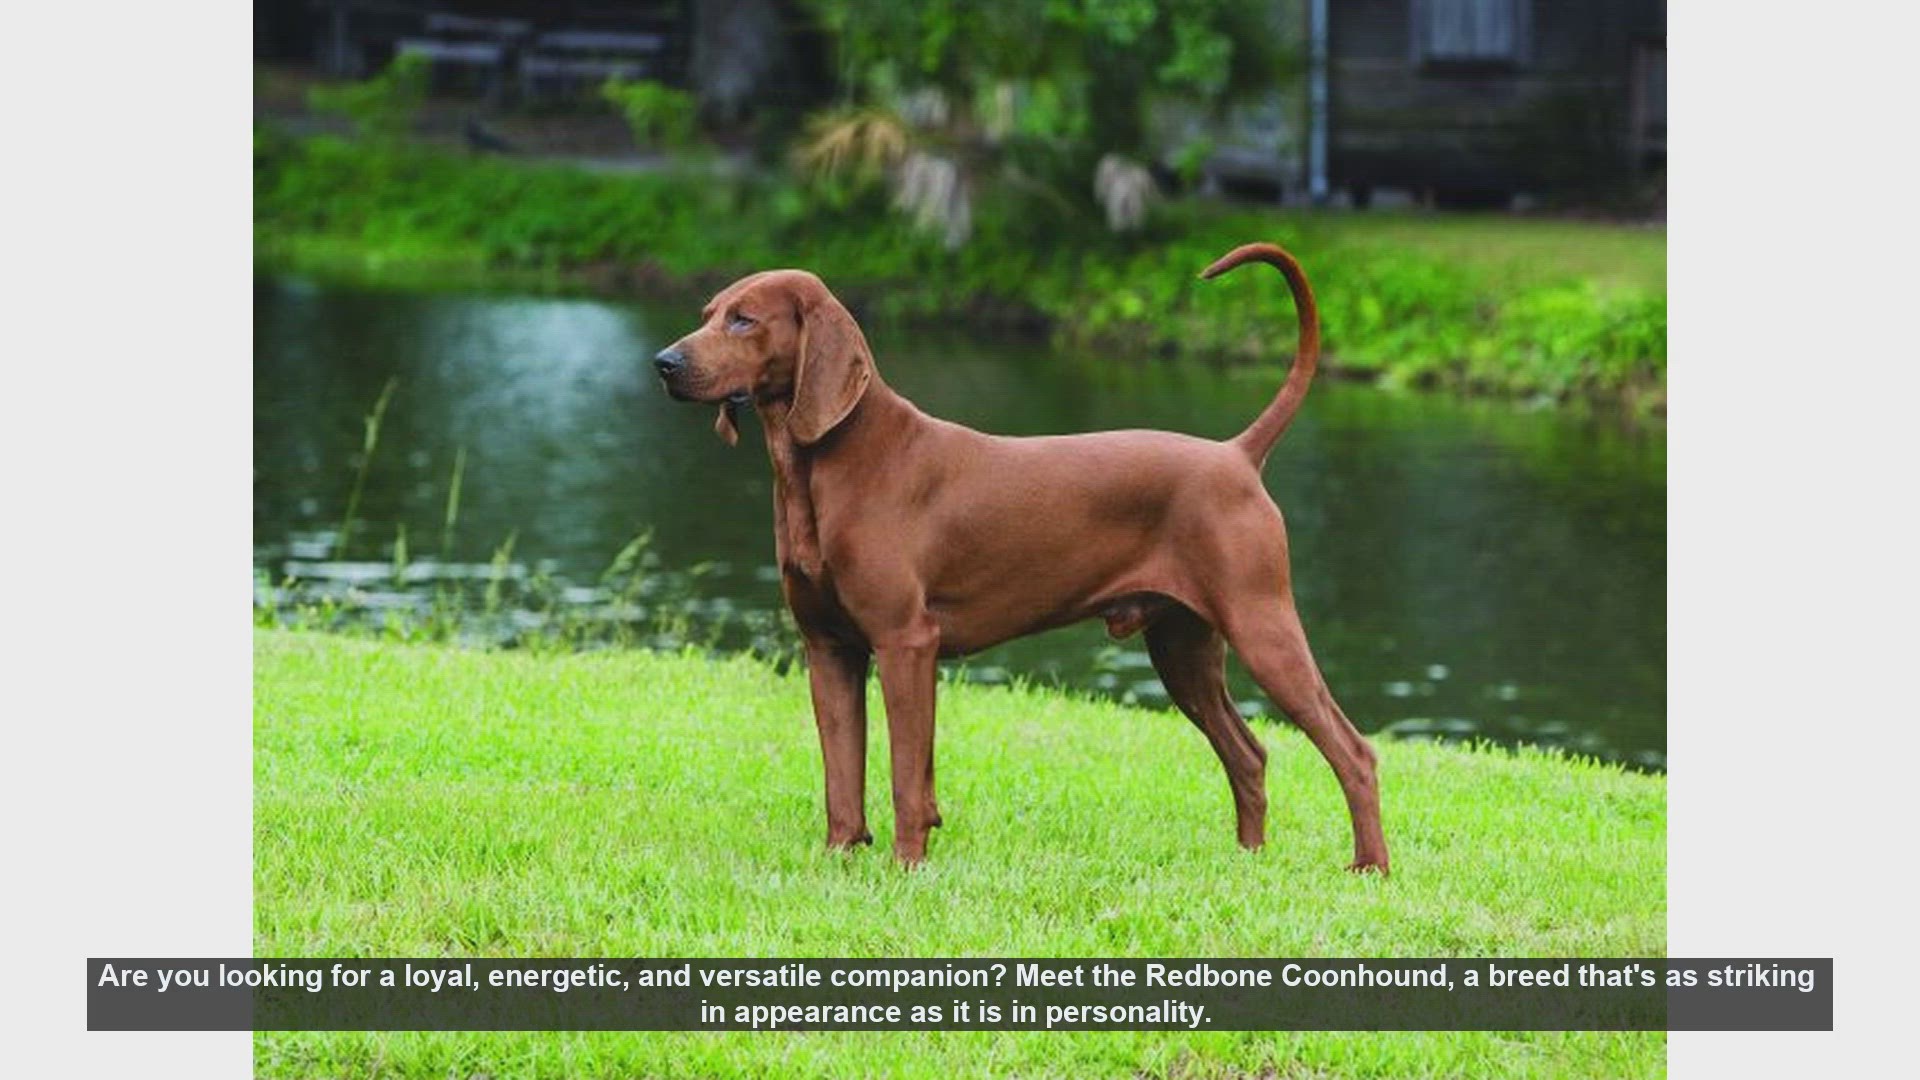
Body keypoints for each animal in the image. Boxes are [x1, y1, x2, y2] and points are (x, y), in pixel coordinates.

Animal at [652, 242, 1390, 864]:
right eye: (708, 314)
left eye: (744, 320)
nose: (664, 363)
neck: (824, 467)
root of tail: (1237, 454)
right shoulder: (829, 649)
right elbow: (843, 774)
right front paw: (841, 859)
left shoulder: (905, 643)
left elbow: (904, 778)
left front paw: (905, 867)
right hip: (1184, 650)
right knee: (1250, 754)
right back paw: (1248, 861)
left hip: (1262, 627)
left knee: (1353, 751)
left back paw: (1369, 869)